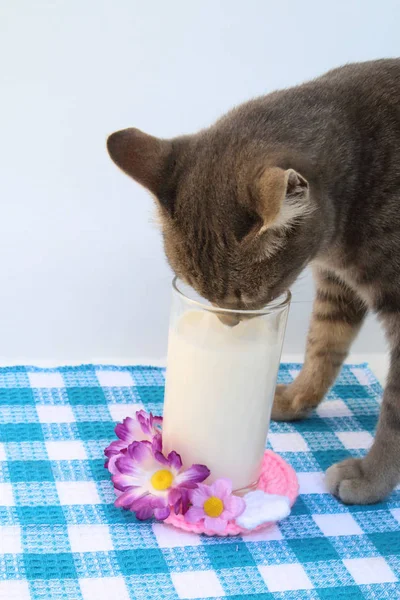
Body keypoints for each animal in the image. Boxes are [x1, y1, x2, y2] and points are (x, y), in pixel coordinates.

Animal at [106, 58, 400, 504]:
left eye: (246, 299)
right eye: (199, 291)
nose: (227, 324)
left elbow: (395, 408)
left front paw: (373, 478)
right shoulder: (338, 283)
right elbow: (323, 343)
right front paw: (297, 399)